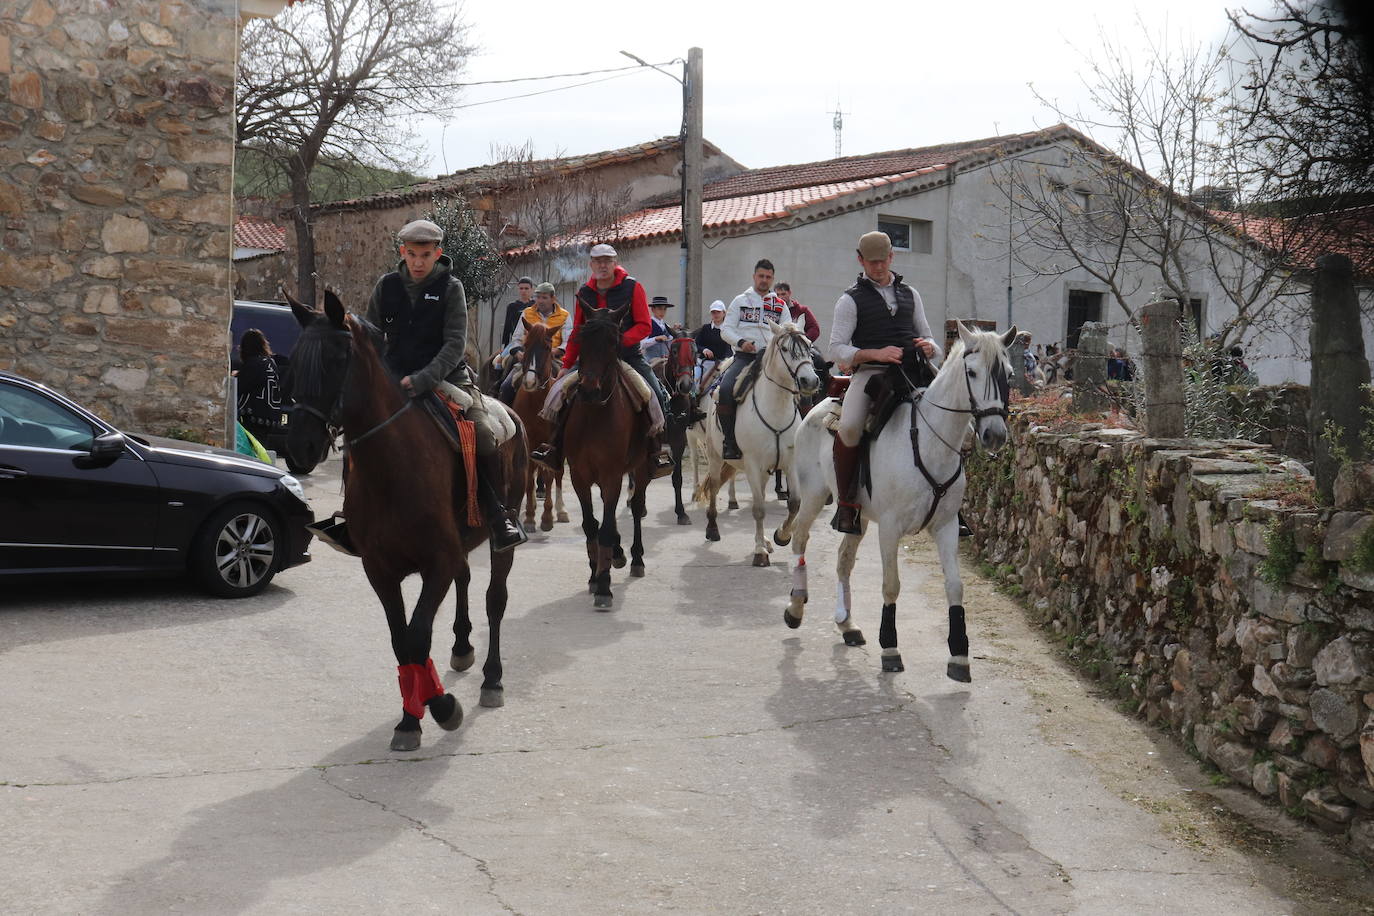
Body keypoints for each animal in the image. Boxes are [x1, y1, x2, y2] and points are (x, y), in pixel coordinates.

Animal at [281, 292, 522, 752]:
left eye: (337, 359)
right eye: (295, 359)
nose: (299, 446)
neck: (393, 468)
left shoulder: (437, 563)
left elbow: (417, 635)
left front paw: (442, 709)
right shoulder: (380, 569)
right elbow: (401, 641)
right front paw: (411, 718)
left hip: (501, 537)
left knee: (494, 600)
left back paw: (493, 680)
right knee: (466, 581)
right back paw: (462, 646)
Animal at [508, 321, 566, 530]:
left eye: (547, 348)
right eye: (525, 345)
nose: (530, 382)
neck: (537, 402)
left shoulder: (550, 441)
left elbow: (549, 476)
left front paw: (547, 517)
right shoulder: (529, 441)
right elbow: (529, 477)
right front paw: (530, 517)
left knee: (558, 473)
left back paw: (561, 510)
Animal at [568, 304, 654, 612]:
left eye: (613, 343)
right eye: (581, 338)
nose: (589, 389)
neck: (595, 415)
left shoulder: (613, 474)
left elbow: (604, 527)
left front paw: (604, 587)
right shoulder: (579, 476)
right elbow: (591, 525)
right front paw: (595, 575)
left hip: (640, 469)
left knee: (637, 507)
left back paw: (636, 558)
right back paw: (616, 553)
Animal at [697, 322, 813, 565]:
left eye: (809, 345)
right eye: (785, 349)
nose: (811, 381)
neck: (775, 410)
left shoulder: (789, 463)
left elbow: (794, 503)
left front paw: (781, 536)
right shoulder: (751, 463)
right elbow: (758, 508)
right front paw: (759, 552)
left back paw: (766, 540)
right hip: (714, 455)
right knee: (714, 486)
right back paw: (712, 529)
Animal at [780, 324, 1016, 681]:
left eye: (1009, 374)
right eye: (972, 372)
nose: (995, 435)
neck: (929, 443)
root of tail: (817, 410)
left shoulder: (946, 527)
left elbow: (955, 586)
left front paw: (959, 655)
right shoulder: (890, 529)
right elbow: (891, 585)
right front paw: (890, 649)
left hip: (858, 517)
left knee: (843, 561)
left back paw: (847, 624)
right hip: (813, 497)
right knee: (800, 540)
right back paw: (795, 606)